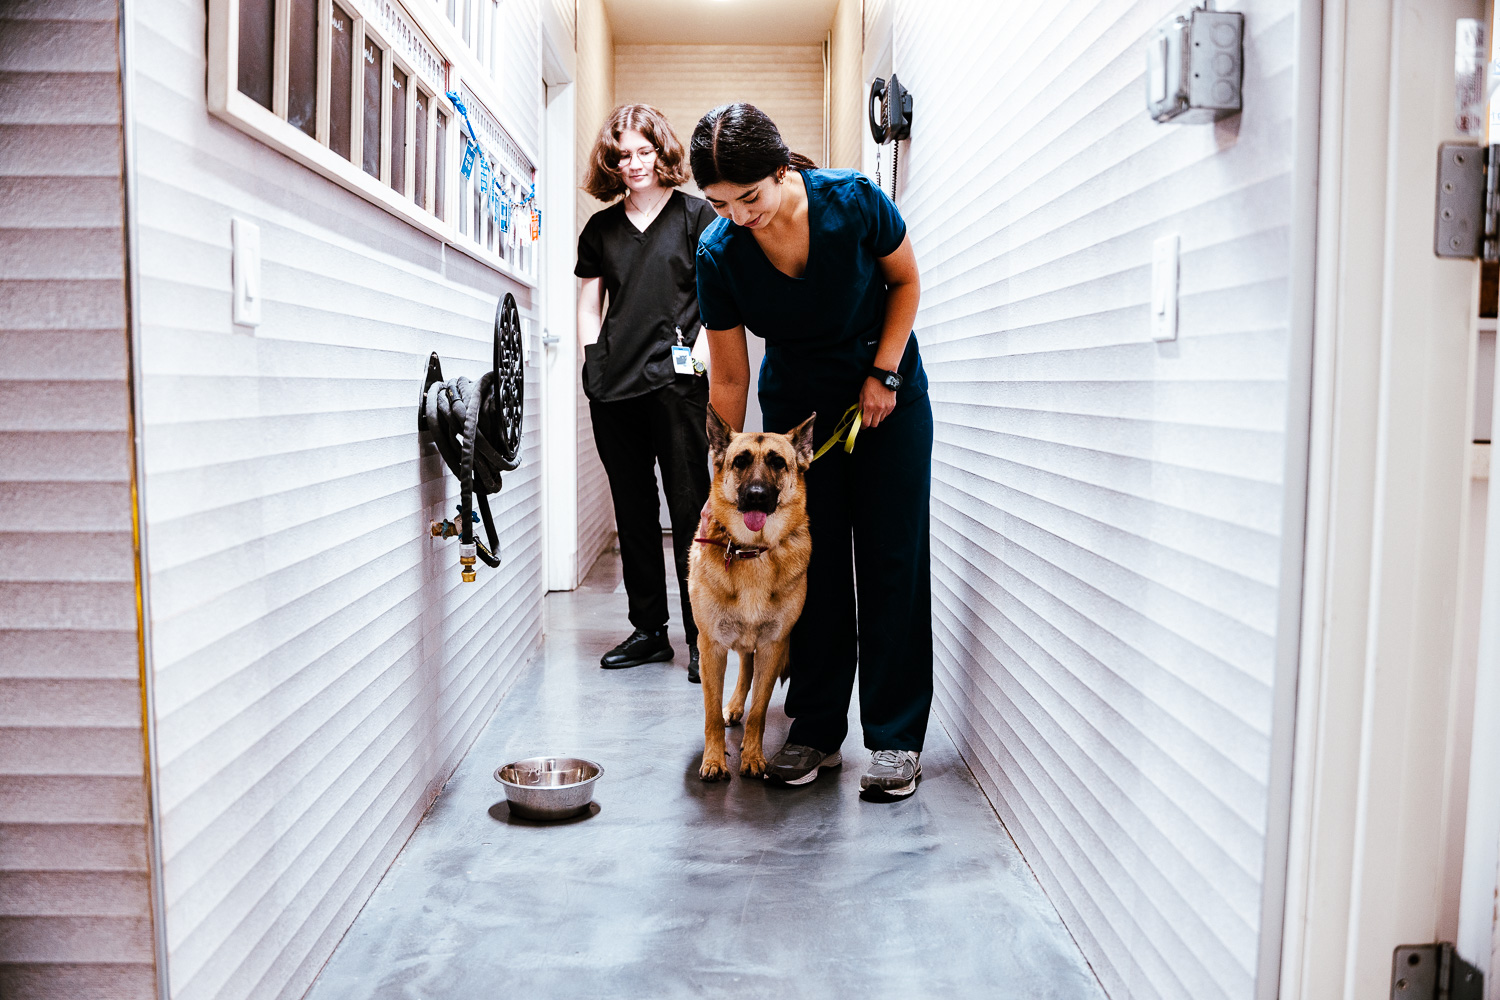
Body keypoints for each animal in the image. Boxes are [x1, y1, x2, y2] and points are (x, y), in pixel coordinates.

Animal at [690, 407, 822, 779]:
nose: (757, 495)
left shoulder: (772, 646)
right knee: (743, 673)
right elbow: (710, 715)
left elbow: (760, 711)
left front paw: (752, 756)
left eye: (778, 462)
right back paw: (733, 707)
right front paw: (714, 760)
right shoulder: (711, 648)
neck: (752, 551)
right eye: (740, 462)